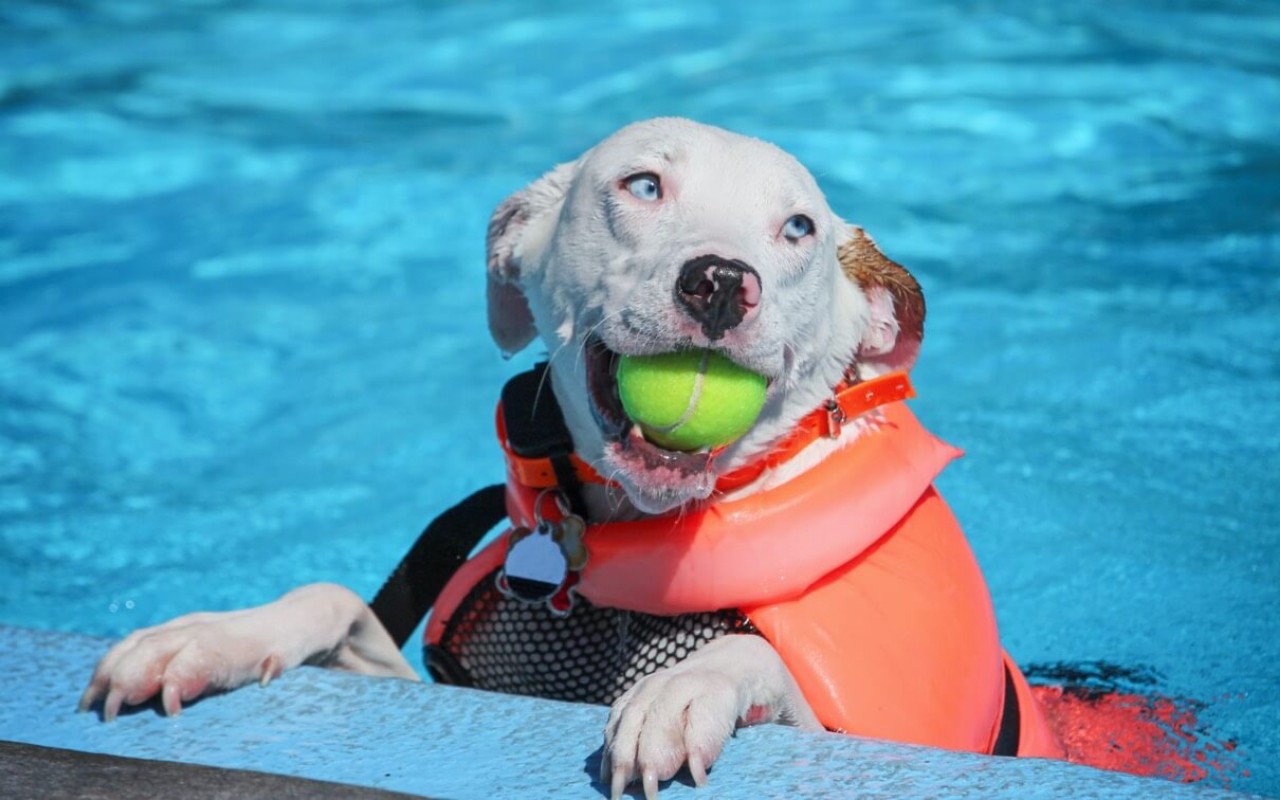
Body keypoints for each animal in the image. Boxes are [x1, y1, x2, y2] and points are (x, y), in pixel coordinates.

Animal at [82, 118, 1059, 798]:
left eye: (797, 229)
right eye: (643, 184)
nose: (719, 280)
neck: (650, 526)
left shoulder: (880, 733)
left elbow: (764, 666)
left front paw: (684, 687)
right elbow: (331, 600)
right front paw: (208, 636)